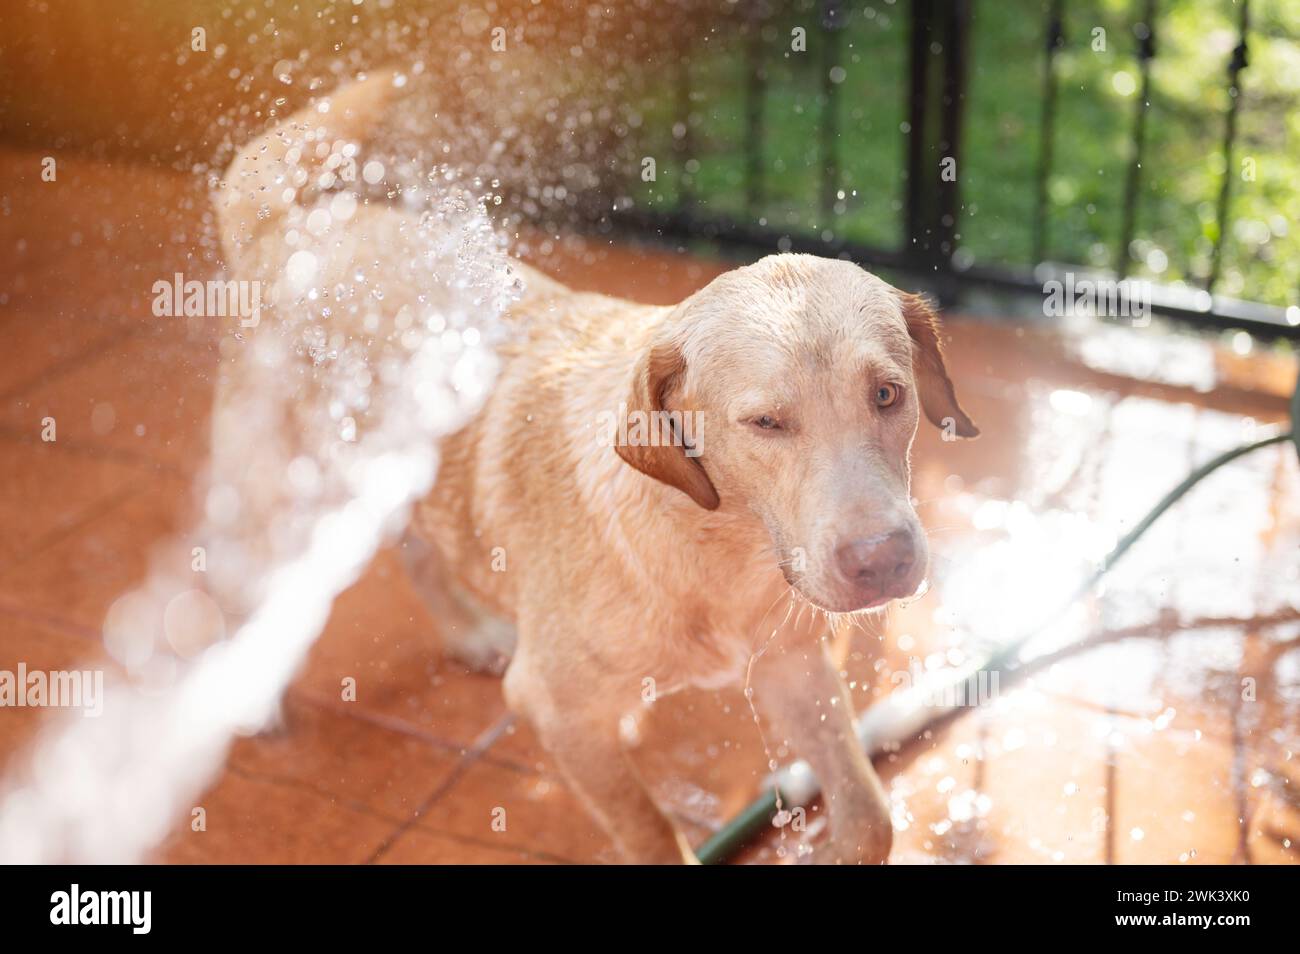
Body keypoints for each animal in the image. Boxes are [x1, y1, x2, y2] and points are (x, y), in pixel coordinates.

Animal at [220, 72, 977, 868]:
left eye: (888, 394)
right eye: (766, 423)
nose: (883, 561)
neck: (713, 542)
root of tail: (291, 229)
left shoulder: (793, 666)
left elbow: (869, 815)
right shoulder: (560, 710)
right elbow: (649, 834)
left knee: (421, 550)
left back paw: (467, 633)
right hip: (275, 486)